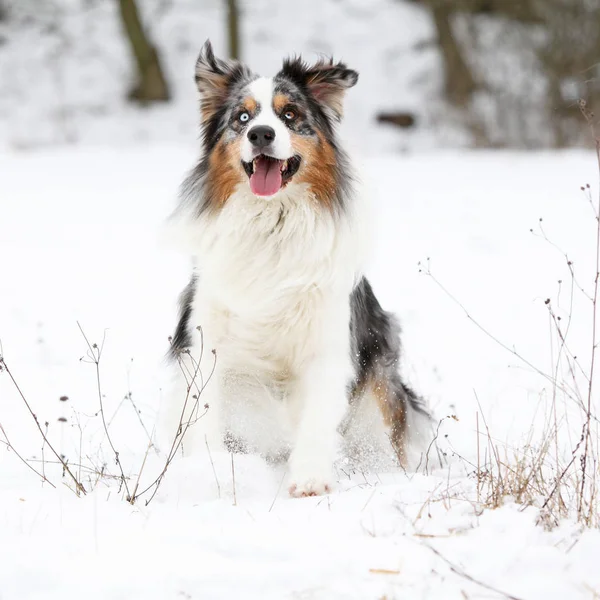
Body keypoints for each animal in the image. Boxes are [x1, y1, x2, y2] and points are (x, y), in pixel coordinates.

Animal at [165, 41, 432, 496]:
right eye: (242, 118)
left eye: (290, 115)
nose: (261, 134)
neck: (271, 220)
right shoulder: (205, 341)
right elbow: (205, 415)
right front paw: (211, 474)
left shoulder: (327, 341)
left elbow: (317, 417)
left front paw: (309, 479)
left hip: (380, 383)